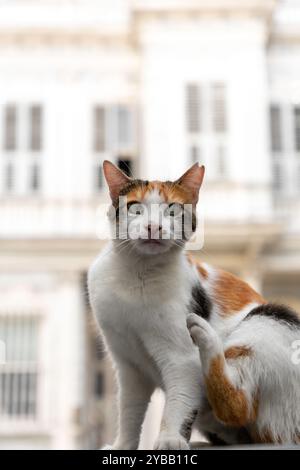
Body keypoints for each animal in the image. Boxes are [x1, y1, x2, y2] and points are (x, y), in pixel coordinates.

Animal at [88, 161, 300, 448]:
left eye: (173, 209)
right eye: (135, 207)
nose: (153, 227)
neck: (138, 274)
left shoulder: (181, 359)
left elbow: (179, 401)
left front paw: (169, 439)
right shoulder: (128, 365)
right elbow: (128, 411)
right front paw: (123, 445)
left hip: (268, 318)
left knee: (239, 406)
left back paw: (205, 334)